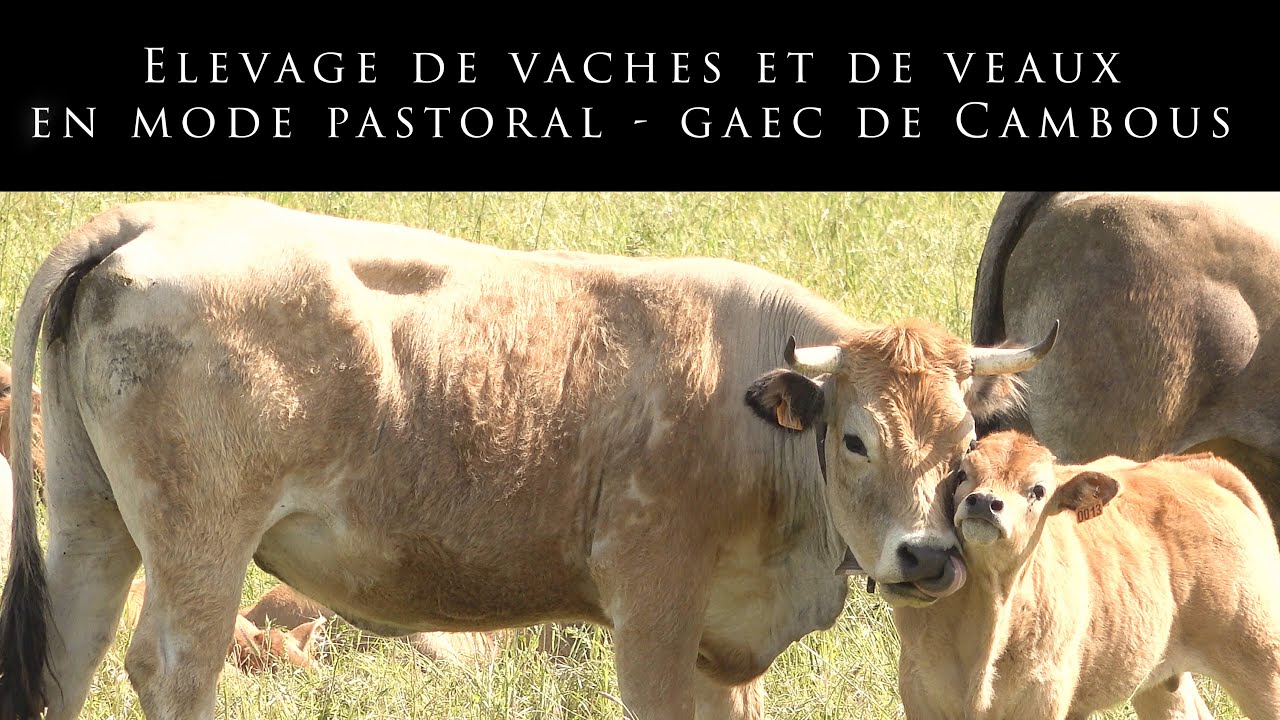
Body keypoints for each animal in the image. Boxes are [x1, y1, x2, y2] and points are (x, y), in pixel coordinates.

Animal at [0, 195, 1055, 720]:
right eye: (853, 437)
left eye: (962, 445)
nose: (927, 557)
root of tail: (152, 217)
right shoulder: (652, 615)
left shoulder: (725, 643)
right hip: (201, 548)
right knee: (172, 668)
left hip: (93, 524)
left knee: (65, 659)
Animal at [893, 430, 1280, 719]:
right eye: (962, 475)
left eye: (1038, 490)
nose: (984, 502)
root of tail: (1198, 466)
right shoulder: (919, 685)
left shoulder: (1043, 693)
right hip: (1162, 680)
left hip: (1261, 658)